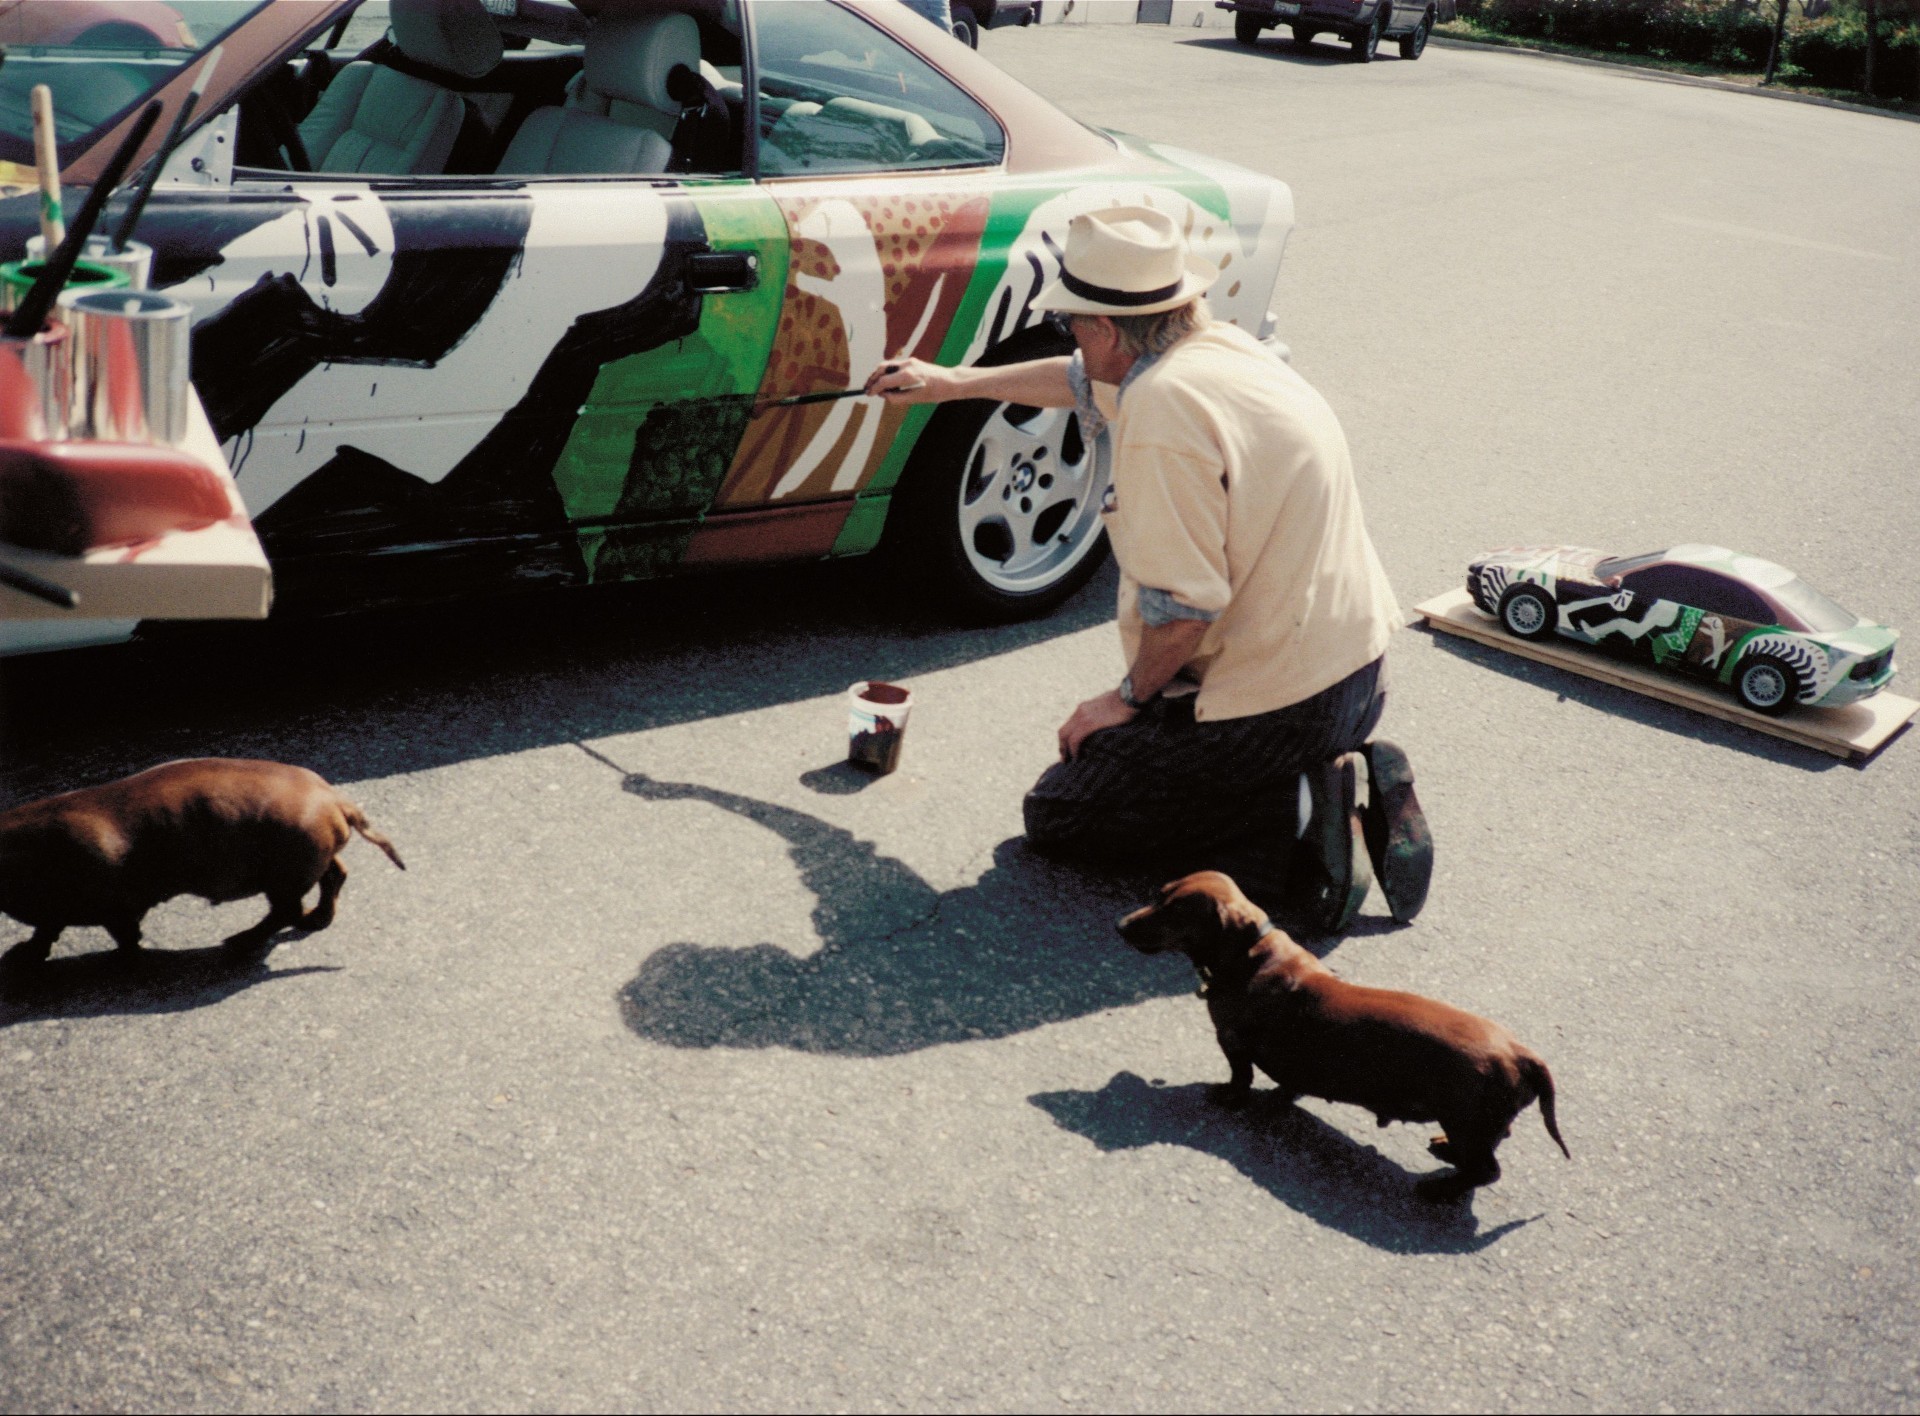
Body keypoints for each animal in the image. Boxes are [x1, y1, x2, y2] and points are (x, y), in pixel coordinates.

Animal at [0, 755, 405, 967]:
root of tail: (334, 798)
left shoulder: (114, 905)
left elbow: (123, 934)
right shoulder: (57, 909)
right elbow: (47, 928)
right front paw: (26, 953)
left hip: (283, 876)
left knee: (285, 912)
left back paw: (241, 941)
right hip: (312, 861)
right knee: (333, 876)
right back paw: (317, 918)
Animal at [1121, 867, 1566, 1197]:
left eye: (1175, 911)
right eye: (1159, 894)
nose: (1120, 925)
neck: (1251, 956)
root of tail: (1521, 1053)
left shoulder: (1232, 1043)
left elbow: (1240, 1076)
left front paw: (1230, 1096)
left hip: (1468, 1122)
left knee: (1486, 1172)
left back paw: (1440, 1189)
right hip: (1477, 1125)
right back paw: (1446, 1151)